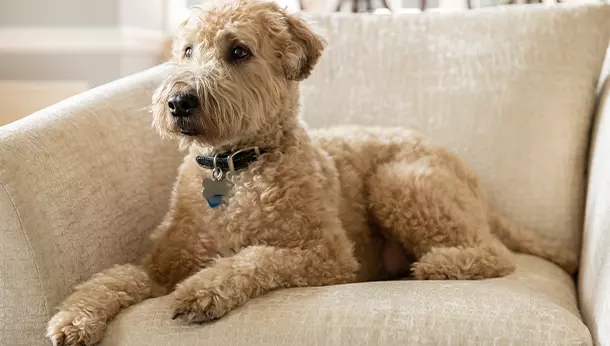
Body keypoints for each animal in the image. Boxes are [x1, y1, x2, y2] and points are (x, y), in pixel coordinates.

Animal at [47, 1, 576, 344]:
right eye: (187, 51)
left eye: (238, 51)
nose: (178, 102)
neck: (237, 167)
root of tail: (469, 175)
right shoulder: (158, 264)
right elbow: (112, 277)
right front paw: (74, 318)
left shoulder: (327, 256)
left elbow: (255, 258)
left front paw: (202, 290)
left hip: (399, 182)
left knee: (493, 254)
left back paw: (439, 265)